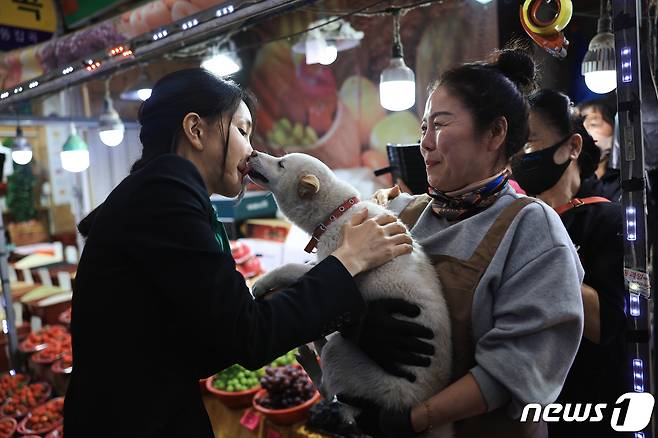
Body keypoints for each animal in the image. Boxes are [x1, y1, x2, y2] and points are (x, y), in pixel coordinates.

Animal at [247, 151, 452, 438]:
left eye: (281, 164)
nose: (253, 152)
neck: (337, 213)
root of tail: (416, 407)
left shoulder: (336, 260)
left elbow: (293, 270)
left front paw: (262, 283)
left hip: (343, 359)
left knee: (329, 392)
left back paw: (313, 358)